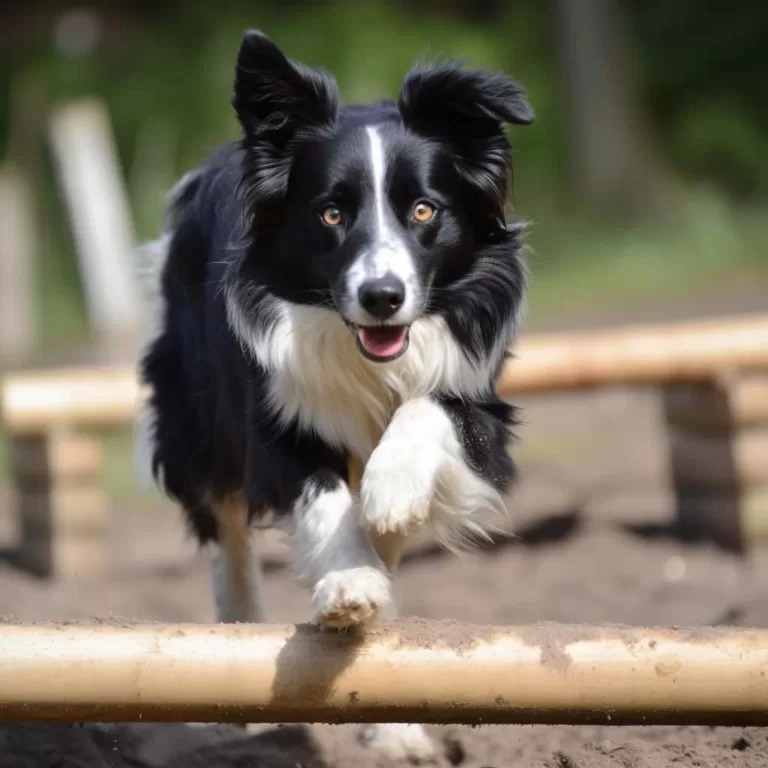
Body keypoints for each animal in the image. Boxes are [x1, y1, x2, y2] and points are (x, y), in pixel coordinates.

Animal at [140, 31, 536, 760]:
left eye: (424, 210)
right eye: (330, 214)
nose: (382, 297)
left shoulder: (480, 403)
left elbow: (428, 413)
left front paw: (391, 490)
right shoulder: (270, 416)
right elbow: (324, 501)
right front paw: (350, 581)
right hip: (195, 419)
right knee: (226, 533)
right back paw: (234, 642)